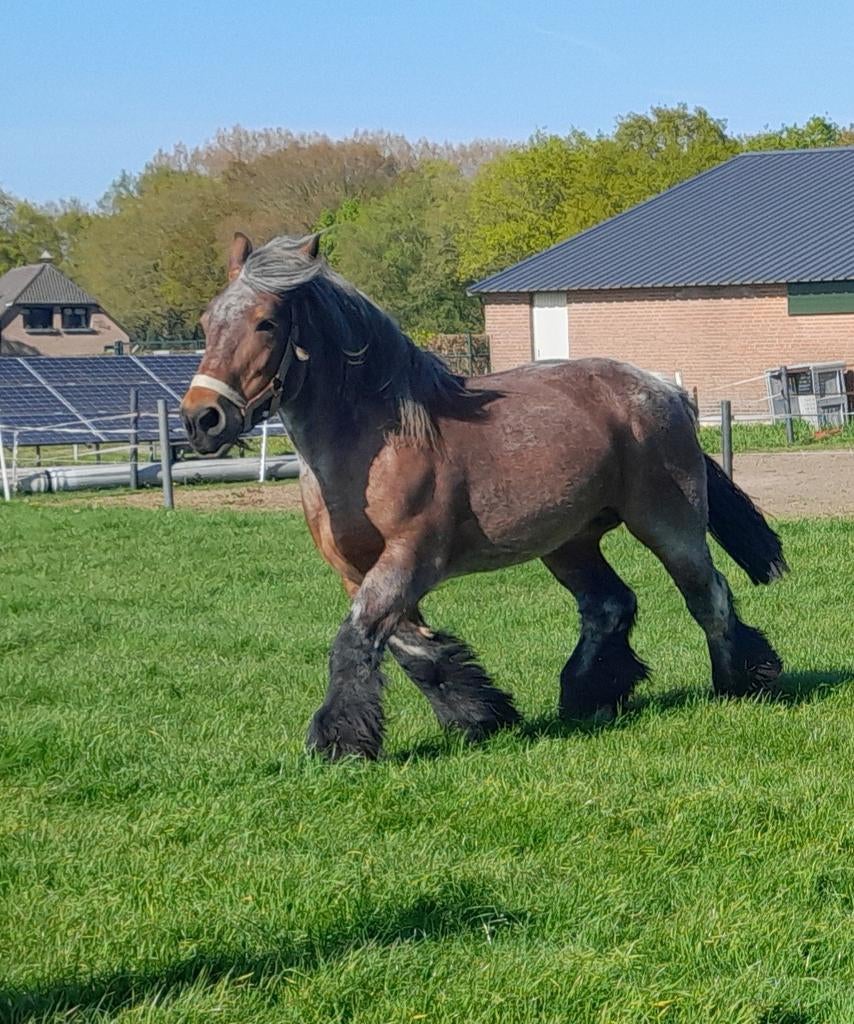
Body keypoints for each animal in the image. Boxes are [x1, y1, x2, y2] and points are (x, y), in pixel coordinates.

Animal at [180, 232, 787, 760]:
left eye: (266, 321)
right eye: (207, 322)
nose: (202, 419)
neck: (376, 442)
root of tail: (666, 390)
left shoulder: (409, 559)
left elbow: (355, 640)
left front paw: (339, 742)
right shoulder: (357, 572)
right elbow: (411, 649)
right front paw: (481, 716)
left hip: (668, 523)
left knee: (707, 594)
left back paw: (741, 679)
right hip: (569, 542)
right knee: (609, 605)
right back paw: (589, 695)